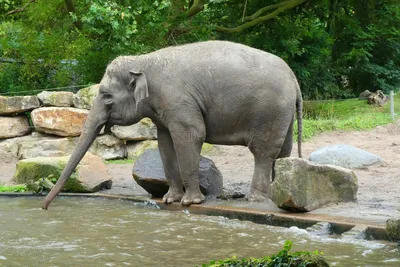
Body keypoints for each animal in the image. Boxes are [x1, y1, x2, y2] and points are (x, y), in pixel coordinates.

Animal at [41, 40, 304, 210]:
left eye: (106, 96)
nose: (44, 208)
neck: (144, 60)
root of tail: (294, 78)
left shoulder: (178, 101)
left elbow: (191, 136)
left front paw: (190, 202)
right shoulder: (163, 110)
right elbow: (165, 144)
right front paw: (170, 200)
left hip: (269, 110)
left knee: (263, 151)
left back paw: (255, 199)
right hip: (283, 113)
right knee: (283, 150)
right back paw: (275, 193)